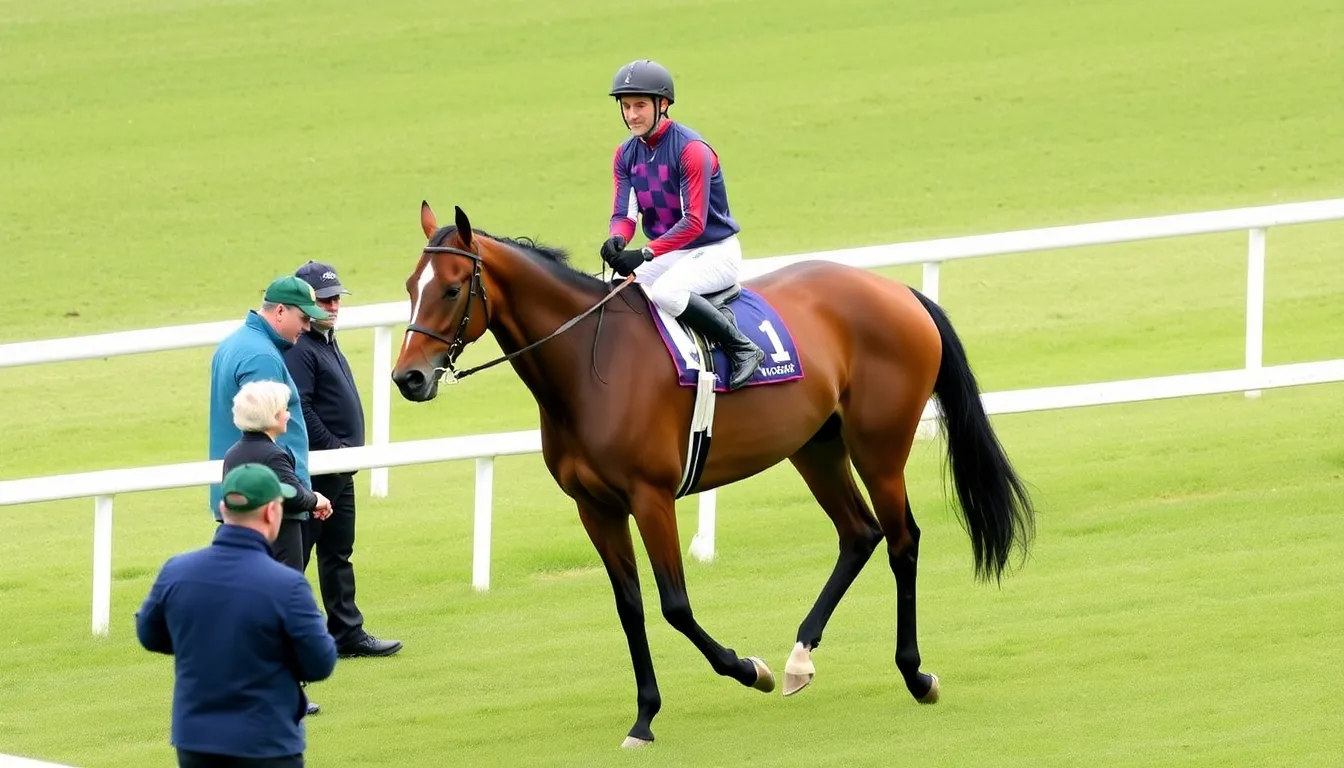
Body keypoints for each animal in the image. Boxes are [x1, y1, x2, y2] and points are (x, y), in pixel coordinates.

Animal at [391, 202, 1036, 748]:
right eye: (409, 288)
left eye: (452, 287)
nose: (408, 379)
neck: (590, 366)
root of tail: (897, 290)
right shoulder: (595, 507)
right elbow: (629, 606)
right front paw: (645, 716)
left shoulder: (651, 498)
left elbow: (675, 605)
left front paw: (747, 669)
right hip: (816, 448)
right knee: (860, 534)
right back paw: (801, 658)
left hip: (879, 447)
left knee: (902, 541)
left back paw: (914, 674)